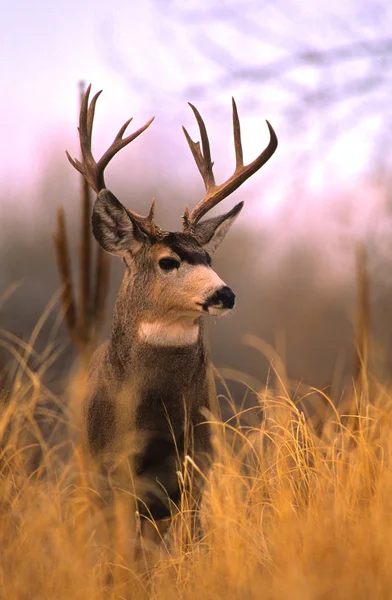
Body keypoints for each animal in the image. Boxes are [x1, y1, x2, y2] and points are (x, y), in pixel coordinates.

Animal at [66, 86, 278, 560]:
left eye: (209, 259)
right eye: (168, 261)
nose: (225, 294)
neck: (157, 418)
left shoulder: (198, 468)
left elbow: (188, 550)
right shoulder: (115, 472)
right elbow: (124, 560)